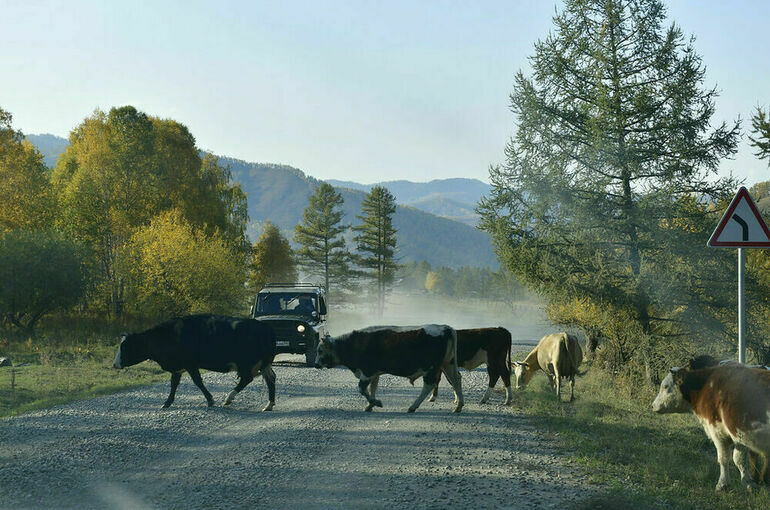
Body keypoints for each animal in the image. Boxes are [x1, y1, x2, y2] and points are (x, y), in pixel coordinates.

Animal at [114, 314, 276, 410]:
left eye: (125, 347)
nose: (114, 364)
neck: (167, 335)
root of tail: (264, 326)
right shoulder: (178, 367)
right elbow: (174, 384)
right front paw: (167, 402)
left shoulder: (190, 364)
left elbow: (198, 381)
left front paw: (210, 400)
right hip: (264, 364)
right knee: (271, 378)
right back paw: (269, 404)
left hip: (248, 364)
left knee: (247, 379)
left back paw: (229, 398)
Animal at [314, 324, 462, 412]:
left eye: (320, 350)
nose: (315, 364)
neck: (354, 343)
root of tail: (445, 327)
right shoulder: (374, 374)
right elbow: (372, 388)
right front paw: (370, 406)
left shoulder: (367, 372)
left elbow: (362, 389)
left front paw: (376, 402)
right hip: (447, 364)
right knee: (456, 380)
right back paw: (458, 406)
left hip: (430, 368)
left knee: (429, 385)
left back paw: (412, 407)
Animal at [652, 362, 768, 490]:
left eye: (665, 386)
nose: (653, 405)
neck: (705, 386)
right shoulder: (738, 433)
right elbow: (740, 460)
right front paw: (748, 483)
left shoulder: (718, 431)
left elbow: (724, 459)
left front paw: (722, 484)